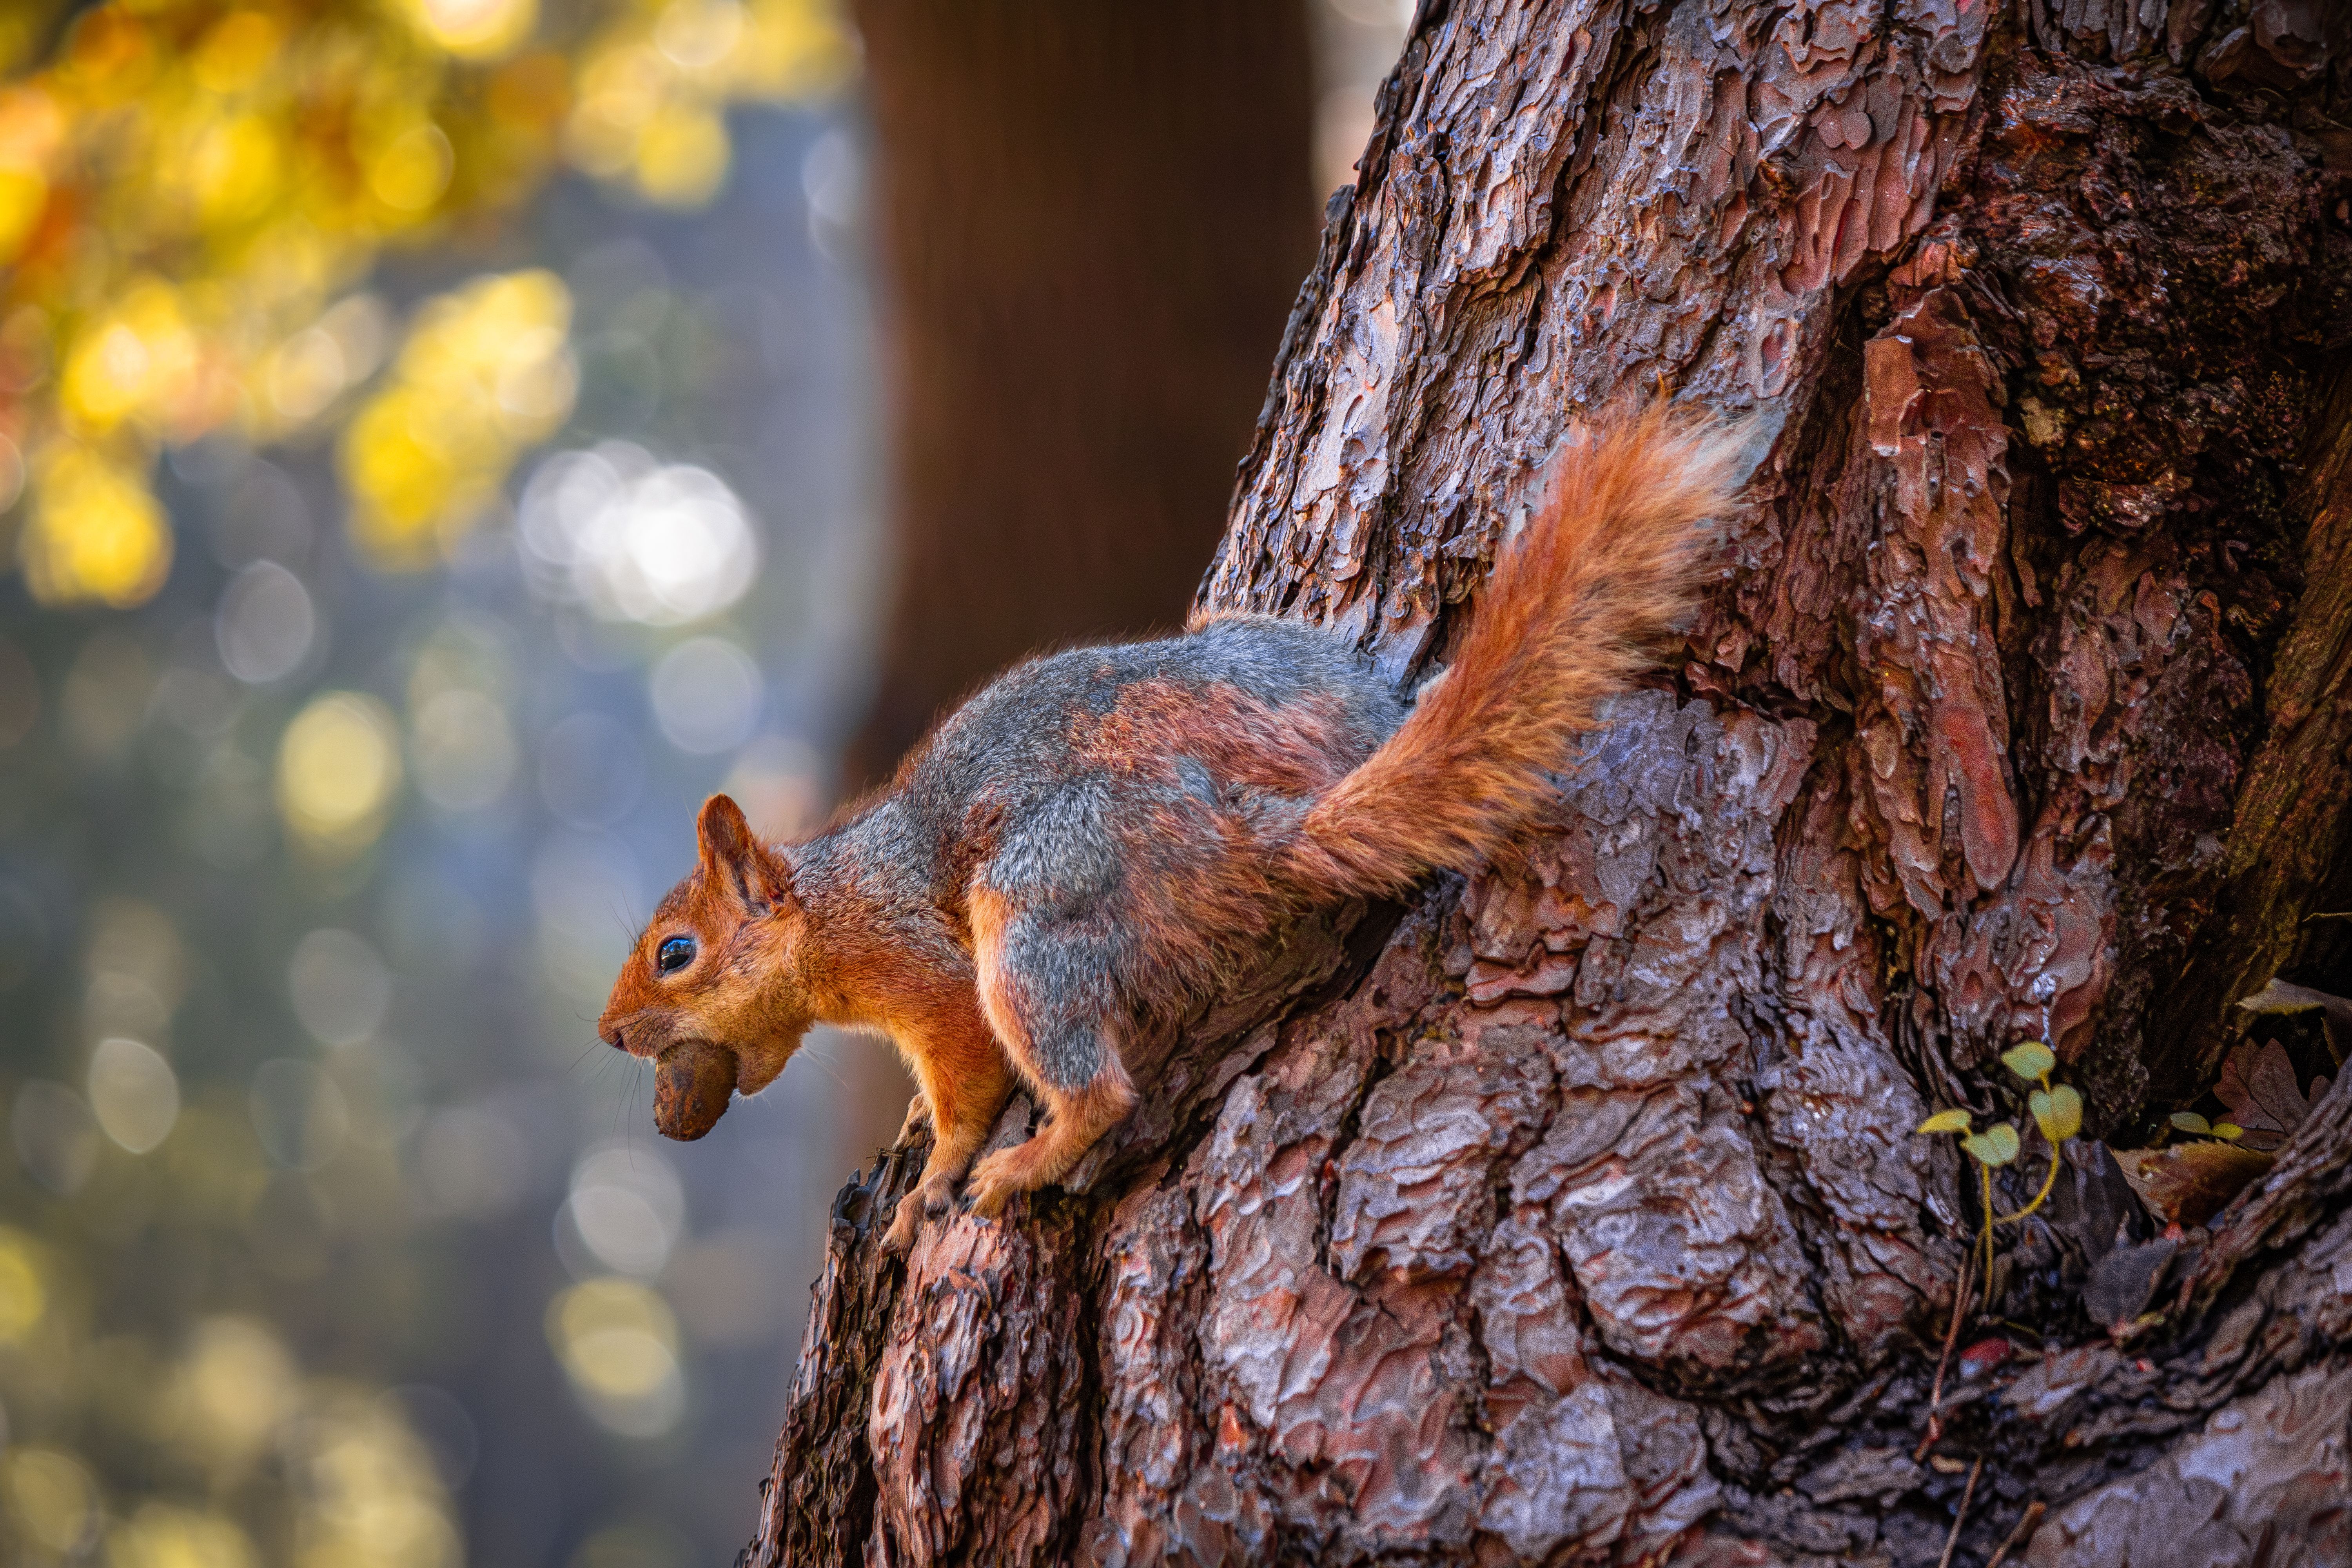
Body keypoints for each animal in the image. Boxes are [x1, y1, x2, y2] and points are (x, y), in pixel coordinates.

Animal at [598, 402, 1745, 1253]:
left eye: (675, 952)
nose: (610, 1035)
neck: (828, 901)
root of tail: (1261, 830)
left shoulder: (917, 965)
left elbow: (964, 1071)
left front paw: (936, 1174)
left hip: (1038, 904)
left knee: (1097, 1086)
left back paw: (1030, 1159)